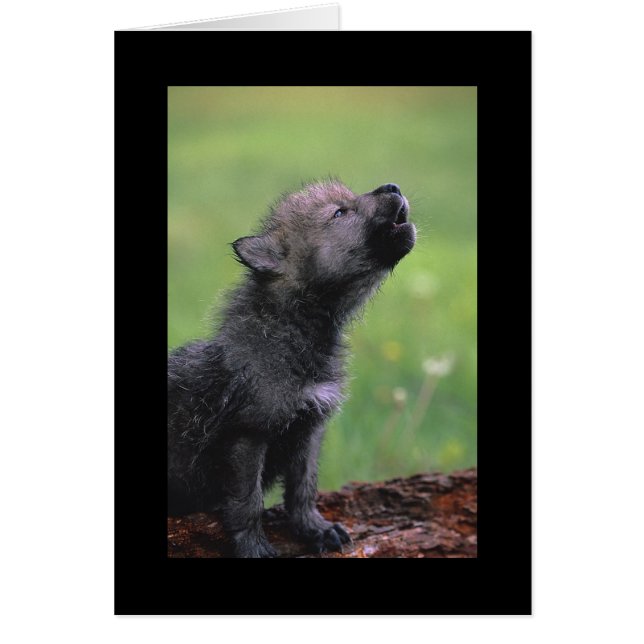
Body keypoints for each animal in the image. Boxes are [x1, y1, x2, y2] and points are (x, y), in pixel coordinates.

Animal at [168, 181, 416, 557]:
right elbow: (247, 503)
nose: (393, 185)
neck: (299, 331)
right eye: (339, 212)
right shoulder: (248, 435)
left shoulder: (309, 428)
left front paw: (316, 529)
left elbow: (303, 489)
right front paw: (254, 547)